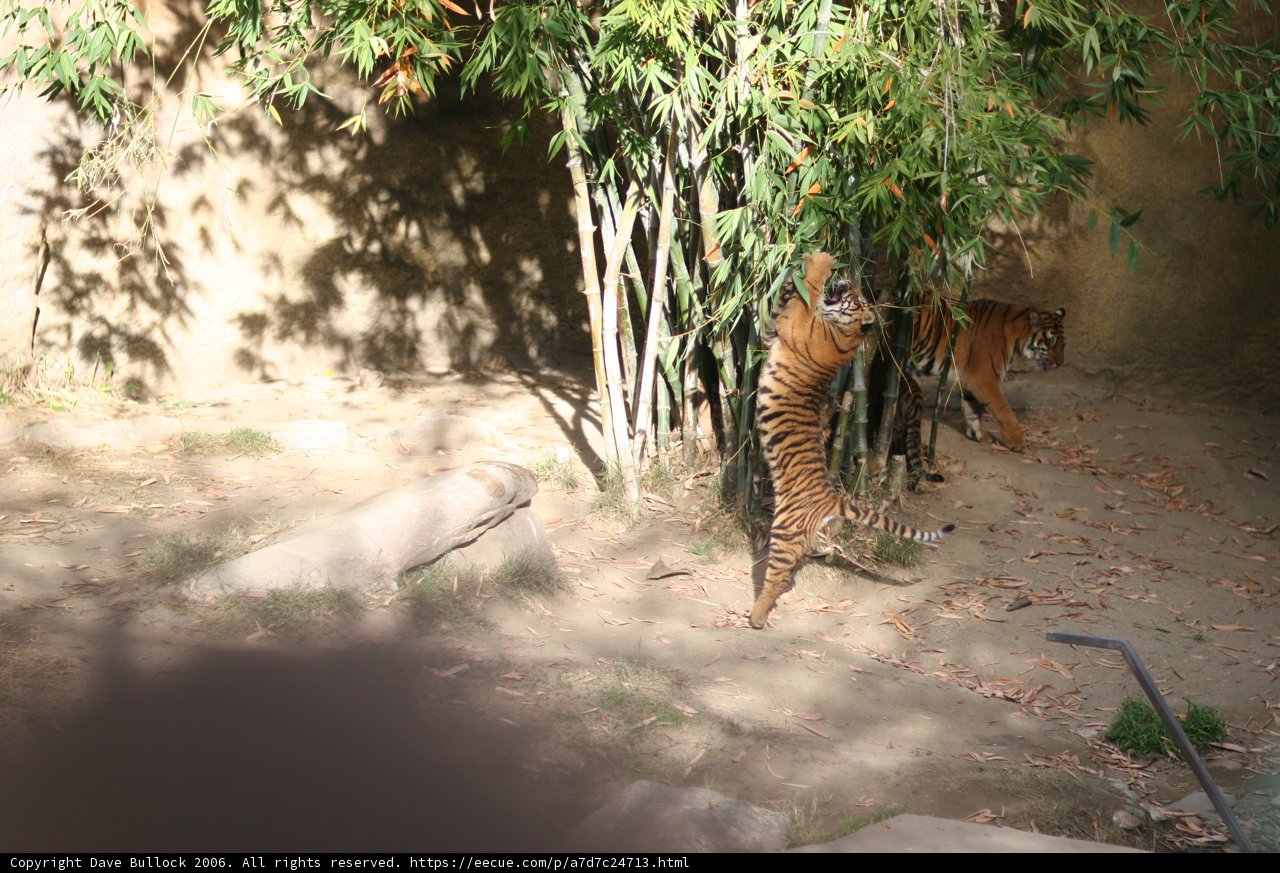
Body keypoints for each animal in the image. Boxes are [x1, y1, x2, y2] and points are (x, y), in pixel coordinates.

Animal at [750, 253, 956, 629]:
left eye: (856, 298)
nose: (846, 282)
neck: (843, 334)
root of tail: (833, 497)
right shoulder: (777, 330)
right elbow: (787, 301)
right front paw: (796, 269)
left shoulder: (800, 326)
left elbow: (808, 292)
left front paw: (819, 260)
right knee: (789, 573)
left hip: (785, 529)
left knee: (778, 574)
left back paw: (756, 617)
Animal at [906, 298, 1067, 452]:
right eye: (1051, 343)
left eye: (1063, 344)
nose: (1060, 363)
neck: (1017, 336)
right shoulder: (983, 378)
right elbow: (1003, 409)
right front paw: (1016, 441)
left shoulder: (968, 379)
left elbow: (973, 410)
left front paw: (978, 434)